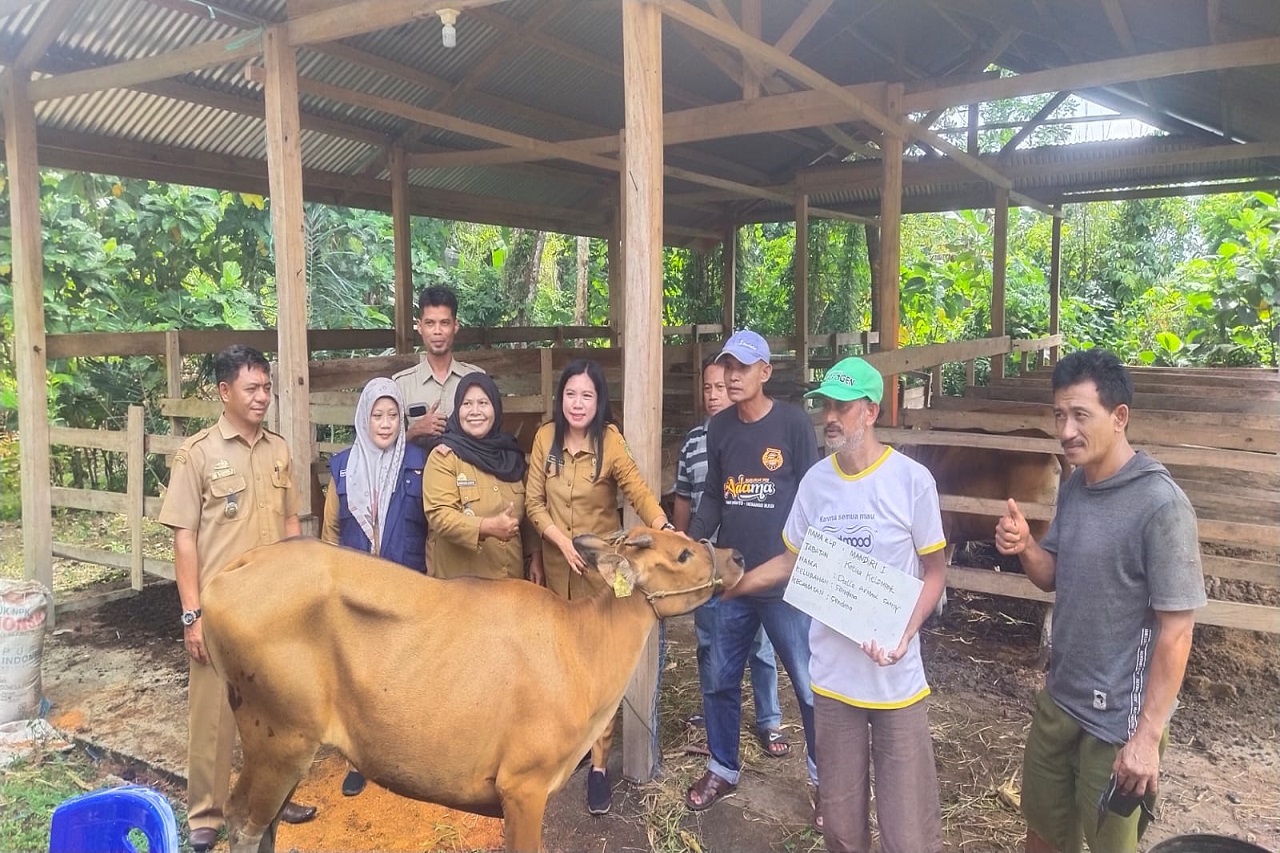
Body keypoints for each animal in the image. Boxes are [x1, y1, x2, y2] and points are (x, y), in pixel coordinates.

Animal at [200, 529, 744, 853]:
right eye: (682, 553)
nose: (736, 554)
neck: (582, 652)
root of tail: (227, 574)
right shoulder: (522, 783)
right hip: (277, 734)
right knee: (243, 822)